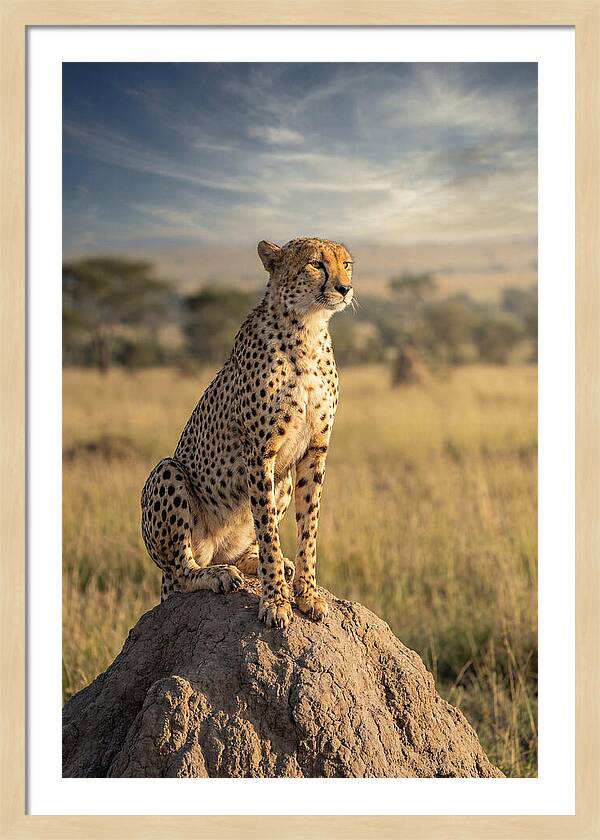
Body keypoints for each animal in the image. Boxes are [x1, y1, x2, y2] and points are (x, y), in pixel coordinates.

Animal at [141, 236, 354, 629]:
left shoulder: (315, 450)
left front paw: (307, 593)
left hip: (282, 480)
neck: (308, 328)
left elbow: (309, 528)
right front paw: (276, 601)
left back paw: (259, 564)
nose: (344, 289)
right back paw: (217, 575)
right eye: (316, 264)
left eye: (346, 264)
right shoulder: (260, 453)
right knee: (181, 570)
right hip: (167, 473)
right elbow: (268, 530)